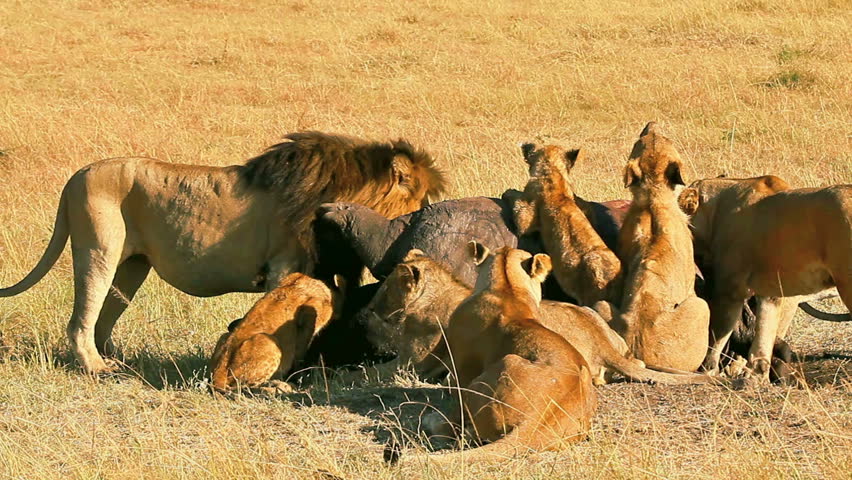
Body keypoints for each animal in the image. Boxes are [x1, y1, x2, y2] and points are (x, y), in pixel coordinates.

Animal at [1, 132, 446, 376]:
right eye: (420, 204)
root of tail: (77, 175)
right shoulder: (284, 264)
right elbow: (282, 316)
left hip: (132, 266)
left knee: (105, 317)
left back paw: (118, 360)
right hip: (99, 249)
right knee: (81, 319)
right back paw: (96, 368)